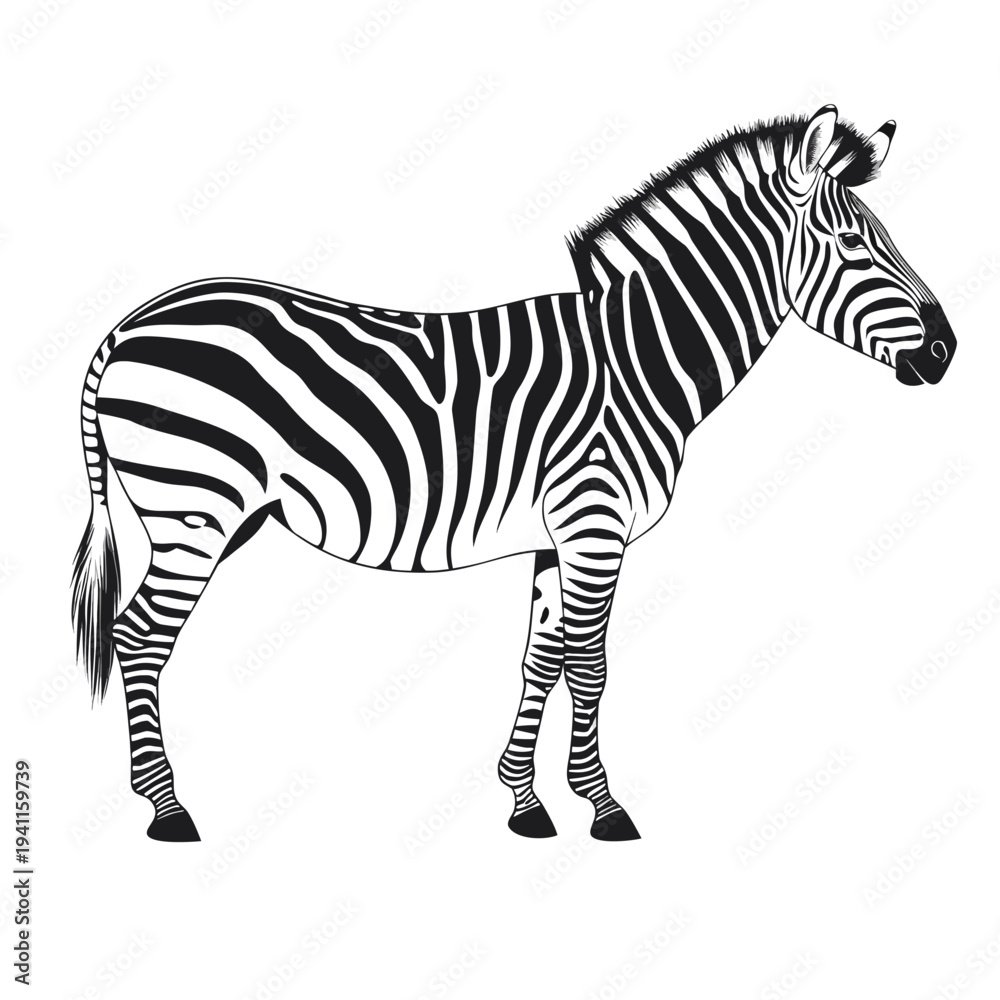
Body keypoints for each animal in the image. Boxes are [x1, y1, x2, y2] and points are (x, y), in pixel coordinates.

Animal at [72, 104, 955, 843]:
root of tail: (127, 324)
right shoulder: (596, 522)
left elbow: (543, 658)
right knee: (139, 635)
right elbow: (590, 665)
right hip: (194, 509)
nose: (947, 352)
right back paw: (168, 809)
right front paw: (603, 808)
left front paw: (526, 802)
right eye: (856, 246)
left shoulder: (556, 537)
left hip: (219, 515)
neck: (637, 362)